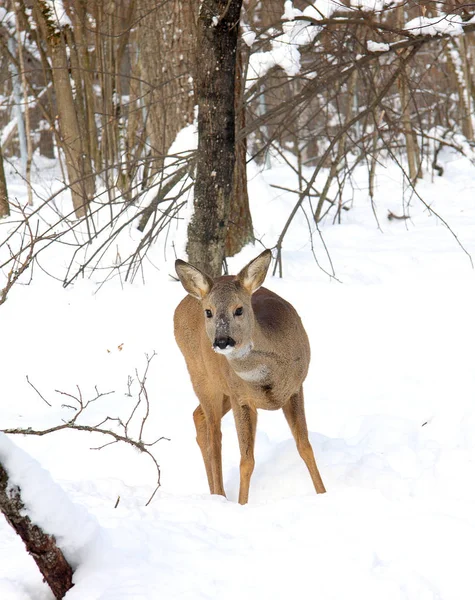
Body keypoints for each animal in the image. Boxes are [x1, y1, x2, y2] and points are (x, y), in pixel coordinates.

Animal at [175, 250, 328, 506]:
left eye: (239, 309)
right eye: (209, 312)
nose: (222, 341)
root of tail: (184, 301)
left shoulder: (296, 387)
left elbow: (305, 446)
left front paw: (323, 494)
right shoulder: (242, 399)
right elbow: (246, 460)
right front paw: (242, 505)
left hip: (221, 388)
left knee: (198, 417)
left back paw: (215, 493)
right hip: (201, 375)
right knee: (214, 437)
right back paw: (219, 495)